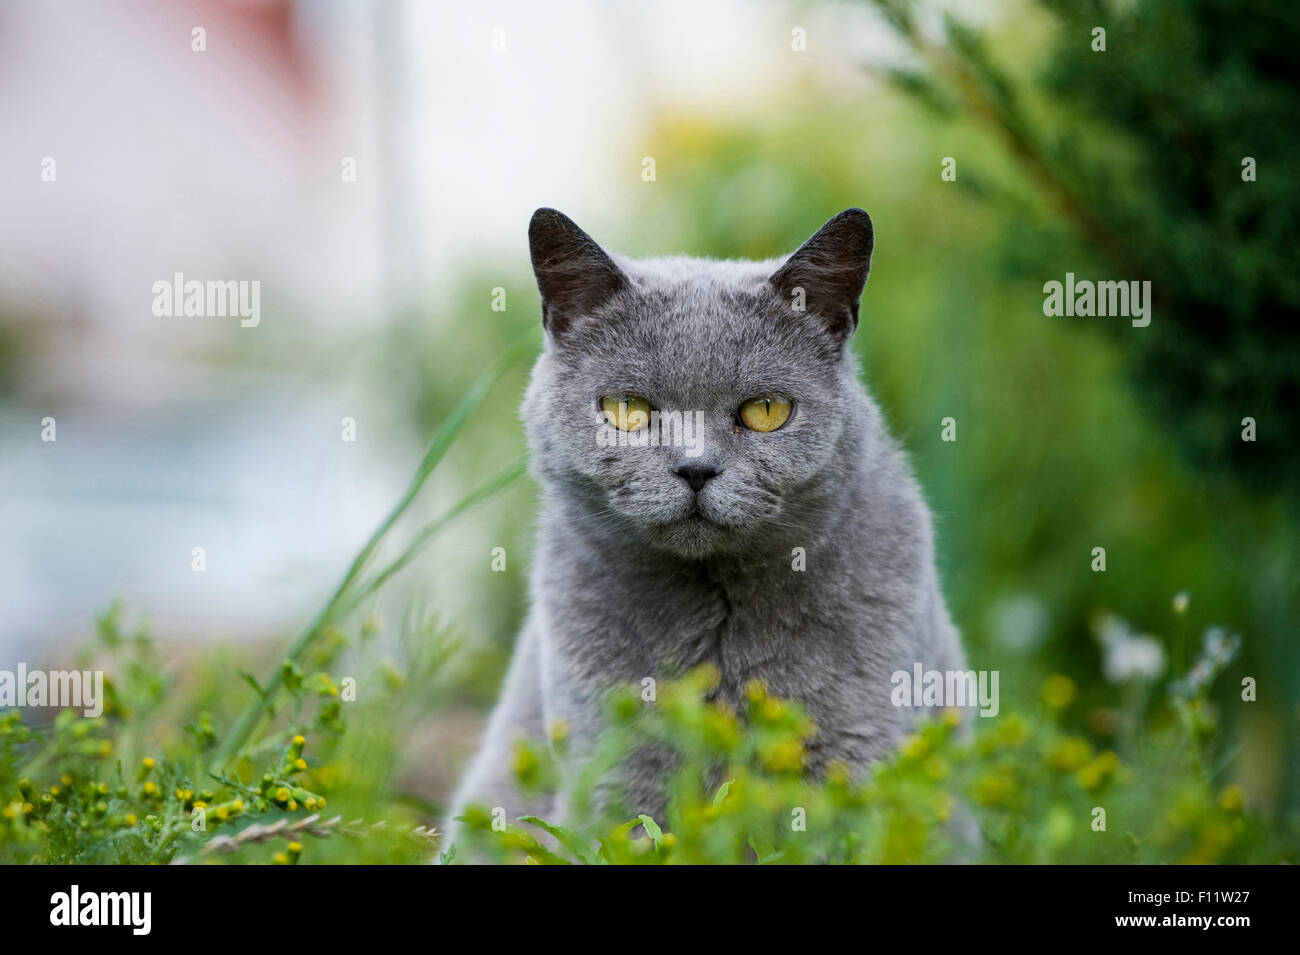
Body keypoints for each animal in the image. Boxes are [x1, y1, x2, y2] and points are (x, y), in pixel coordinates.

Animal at [447, 209, 967, 852]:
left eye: (766, 410)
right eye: (627, 409)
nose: (695, 468)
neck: (717, 620)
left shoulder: (856, 749)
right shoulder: (616, 763)